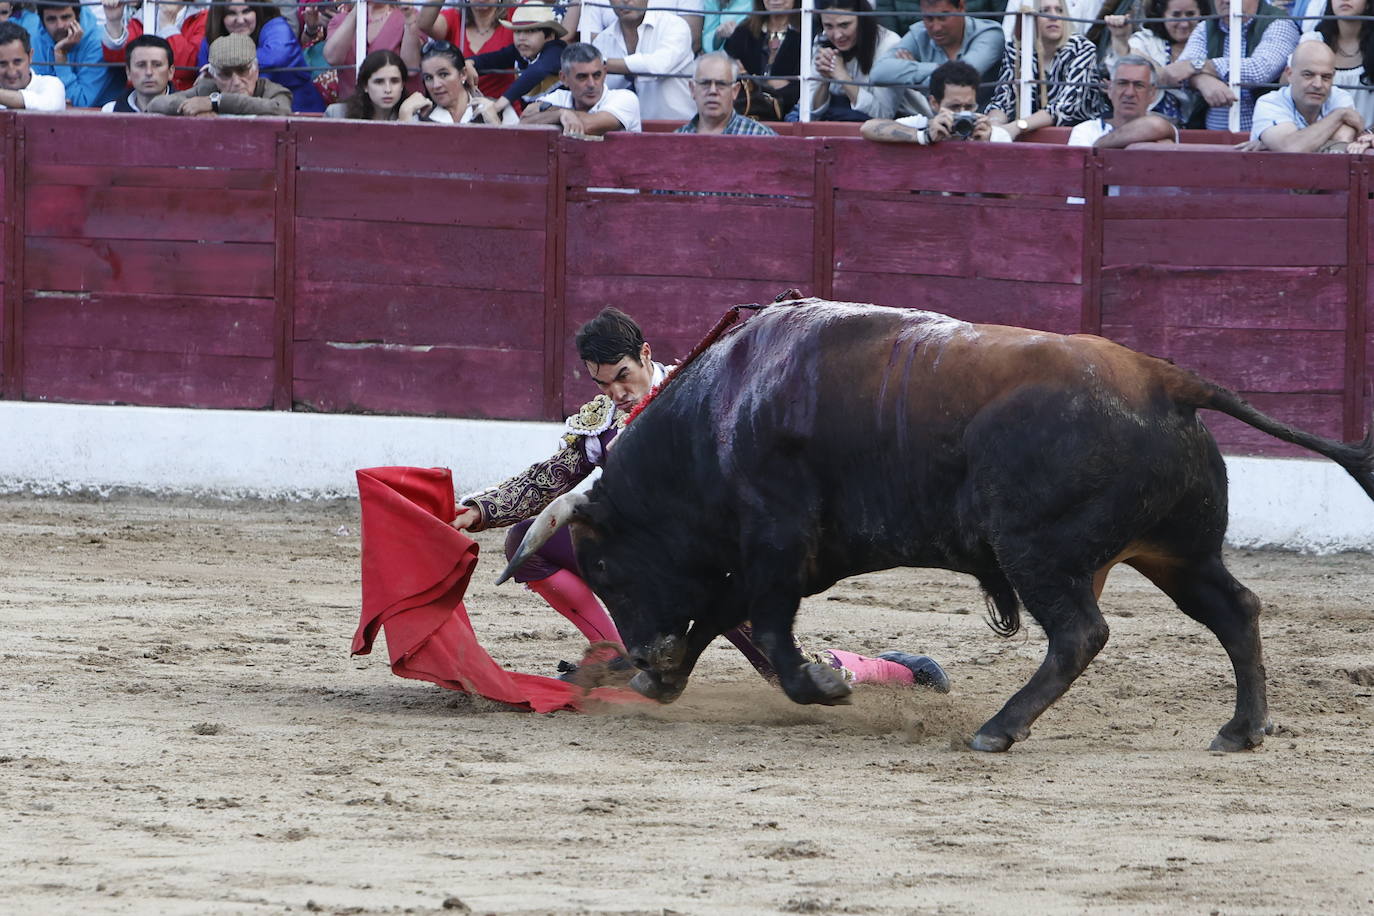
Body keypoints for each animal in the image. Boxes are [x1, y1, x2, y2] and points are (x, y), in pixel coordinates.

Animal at [502, 300, 1374, 752]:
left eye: (605, 566)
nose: (645, 655)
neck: (716, 419)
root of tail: (1166, 378)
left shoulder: (778, 545)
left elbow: (772, 633)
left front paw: (824, 685)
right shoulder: (769, 558)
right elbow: (722, 614)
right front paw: (669, 678)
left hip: (1040, 552)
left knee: (1080, 634)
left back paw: (997, 730)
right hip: (1176, 551)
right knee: (1236, 610)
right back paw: (1243, 728)